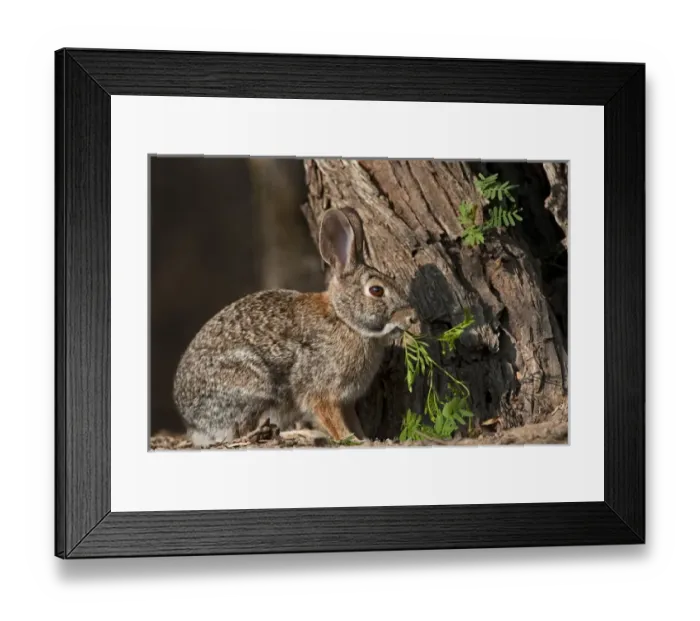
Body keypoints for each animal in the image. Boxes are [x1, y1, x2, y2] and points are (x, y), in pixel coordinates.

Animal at [172, 206, 418, 448]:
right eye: (376, 290)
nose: (412, 317)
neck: (344, 320)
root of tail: (194, 423)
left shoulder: (346, 400)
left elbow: (352, 420)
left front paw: (364, 438)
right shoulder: (322, 392)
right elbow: (332, 419)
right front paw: (351, 439)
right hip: (253, 385)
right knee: (244, 433)